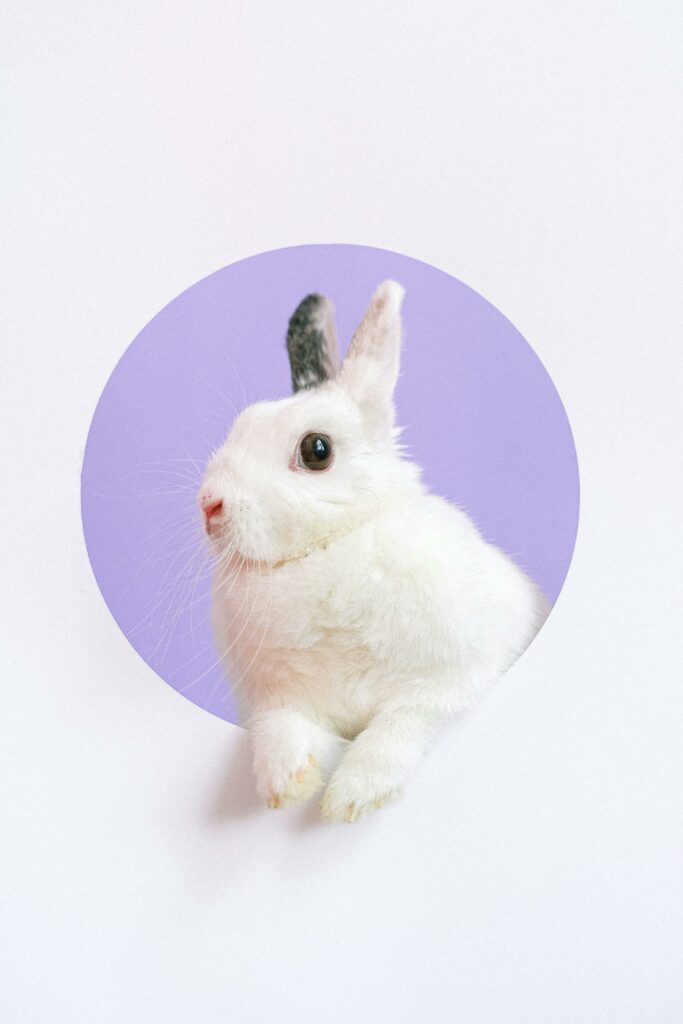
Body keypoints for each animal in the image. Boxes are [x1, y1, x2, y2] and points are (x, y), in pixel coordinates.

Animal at [197, 280, 549, 822]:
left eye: (316, 450)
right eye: (243, 424)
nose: (209, 504)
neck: (330, 547)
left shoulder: (455, 679)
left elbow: (401, 725)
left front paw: (352, 796)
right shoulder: (276, 699)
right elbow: (281, 728)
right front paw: (286, 784)